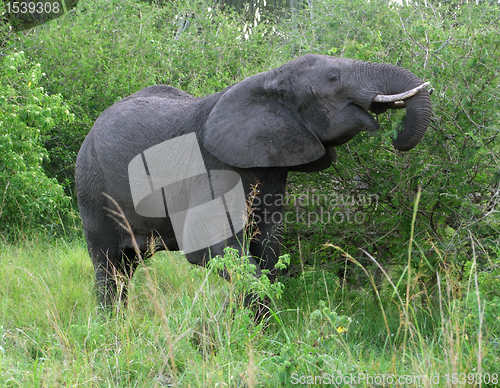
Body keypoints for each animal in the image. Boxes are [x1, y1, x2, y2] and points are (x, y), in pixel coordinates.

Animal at [76, 54, 432, 314]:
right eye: (334, 78)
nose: (396, 136)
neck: (268, 79)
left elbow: (268, 246)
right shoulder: (213, 167)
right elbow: (210, 246)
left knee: (125, 267)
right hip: (92, 186)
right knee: (109, 265)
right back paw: (113, 329)